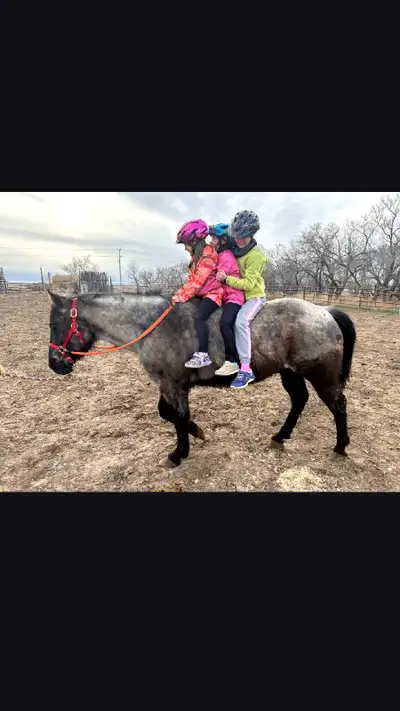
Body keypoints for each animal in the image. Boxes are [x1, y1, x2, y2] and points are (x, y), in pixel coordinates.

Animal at [48, 291, 356, 467]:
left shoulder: (172, 384)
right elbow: (169, 414)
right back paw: (281, 436)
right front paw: (197, 432)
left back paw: (341, 446)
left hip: (321, 376)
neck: (152, 325)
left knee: (338, 405)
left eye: (54, 324)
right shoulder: (172, 384)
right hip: (290, 372)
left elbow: (176, 417)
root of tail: (325, 312)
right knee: (299, 400)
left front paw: (179, 453)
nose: (54, 364)